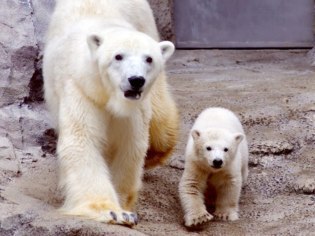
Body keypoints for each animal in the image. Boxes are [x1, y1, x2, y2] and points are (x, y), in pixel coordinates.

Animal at [43, 0, 179, 227]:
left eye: (149, 59)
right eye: (118, 56)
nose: (136, 80)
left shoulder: (134, 109)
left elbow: (130, 146)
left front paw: (124, 208)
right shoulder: (82, 89)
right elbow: (82, 139)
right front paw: (112, 212)